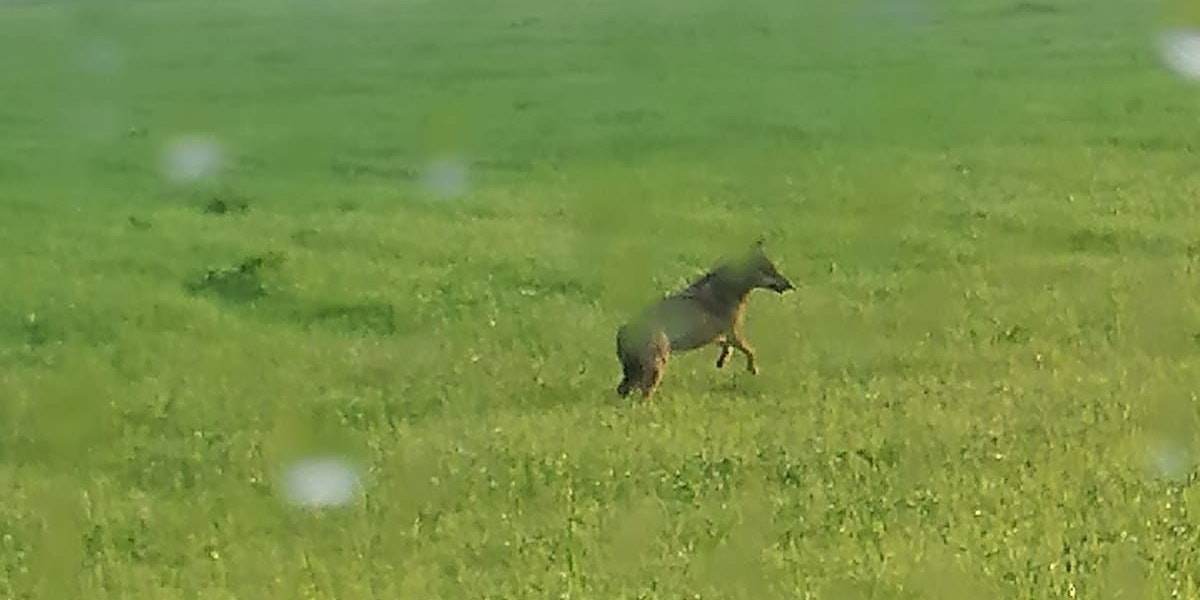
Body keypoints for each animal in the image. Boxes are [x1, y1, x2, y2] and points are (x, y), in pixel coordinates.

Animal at [614, 238, 795, 400]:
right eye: (770, 271)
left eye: (775, 269)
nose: (791, 285)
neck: (731, 287)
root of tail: (622, 331)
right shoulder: (733, 332)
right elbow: (751, 351)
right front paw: (753, 369)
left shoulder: (720, 336)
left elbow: (729, 349)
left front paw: (722, 362)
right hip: (655, 368)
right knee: (643, 394)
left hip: (635, 372)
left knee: (623, 390)